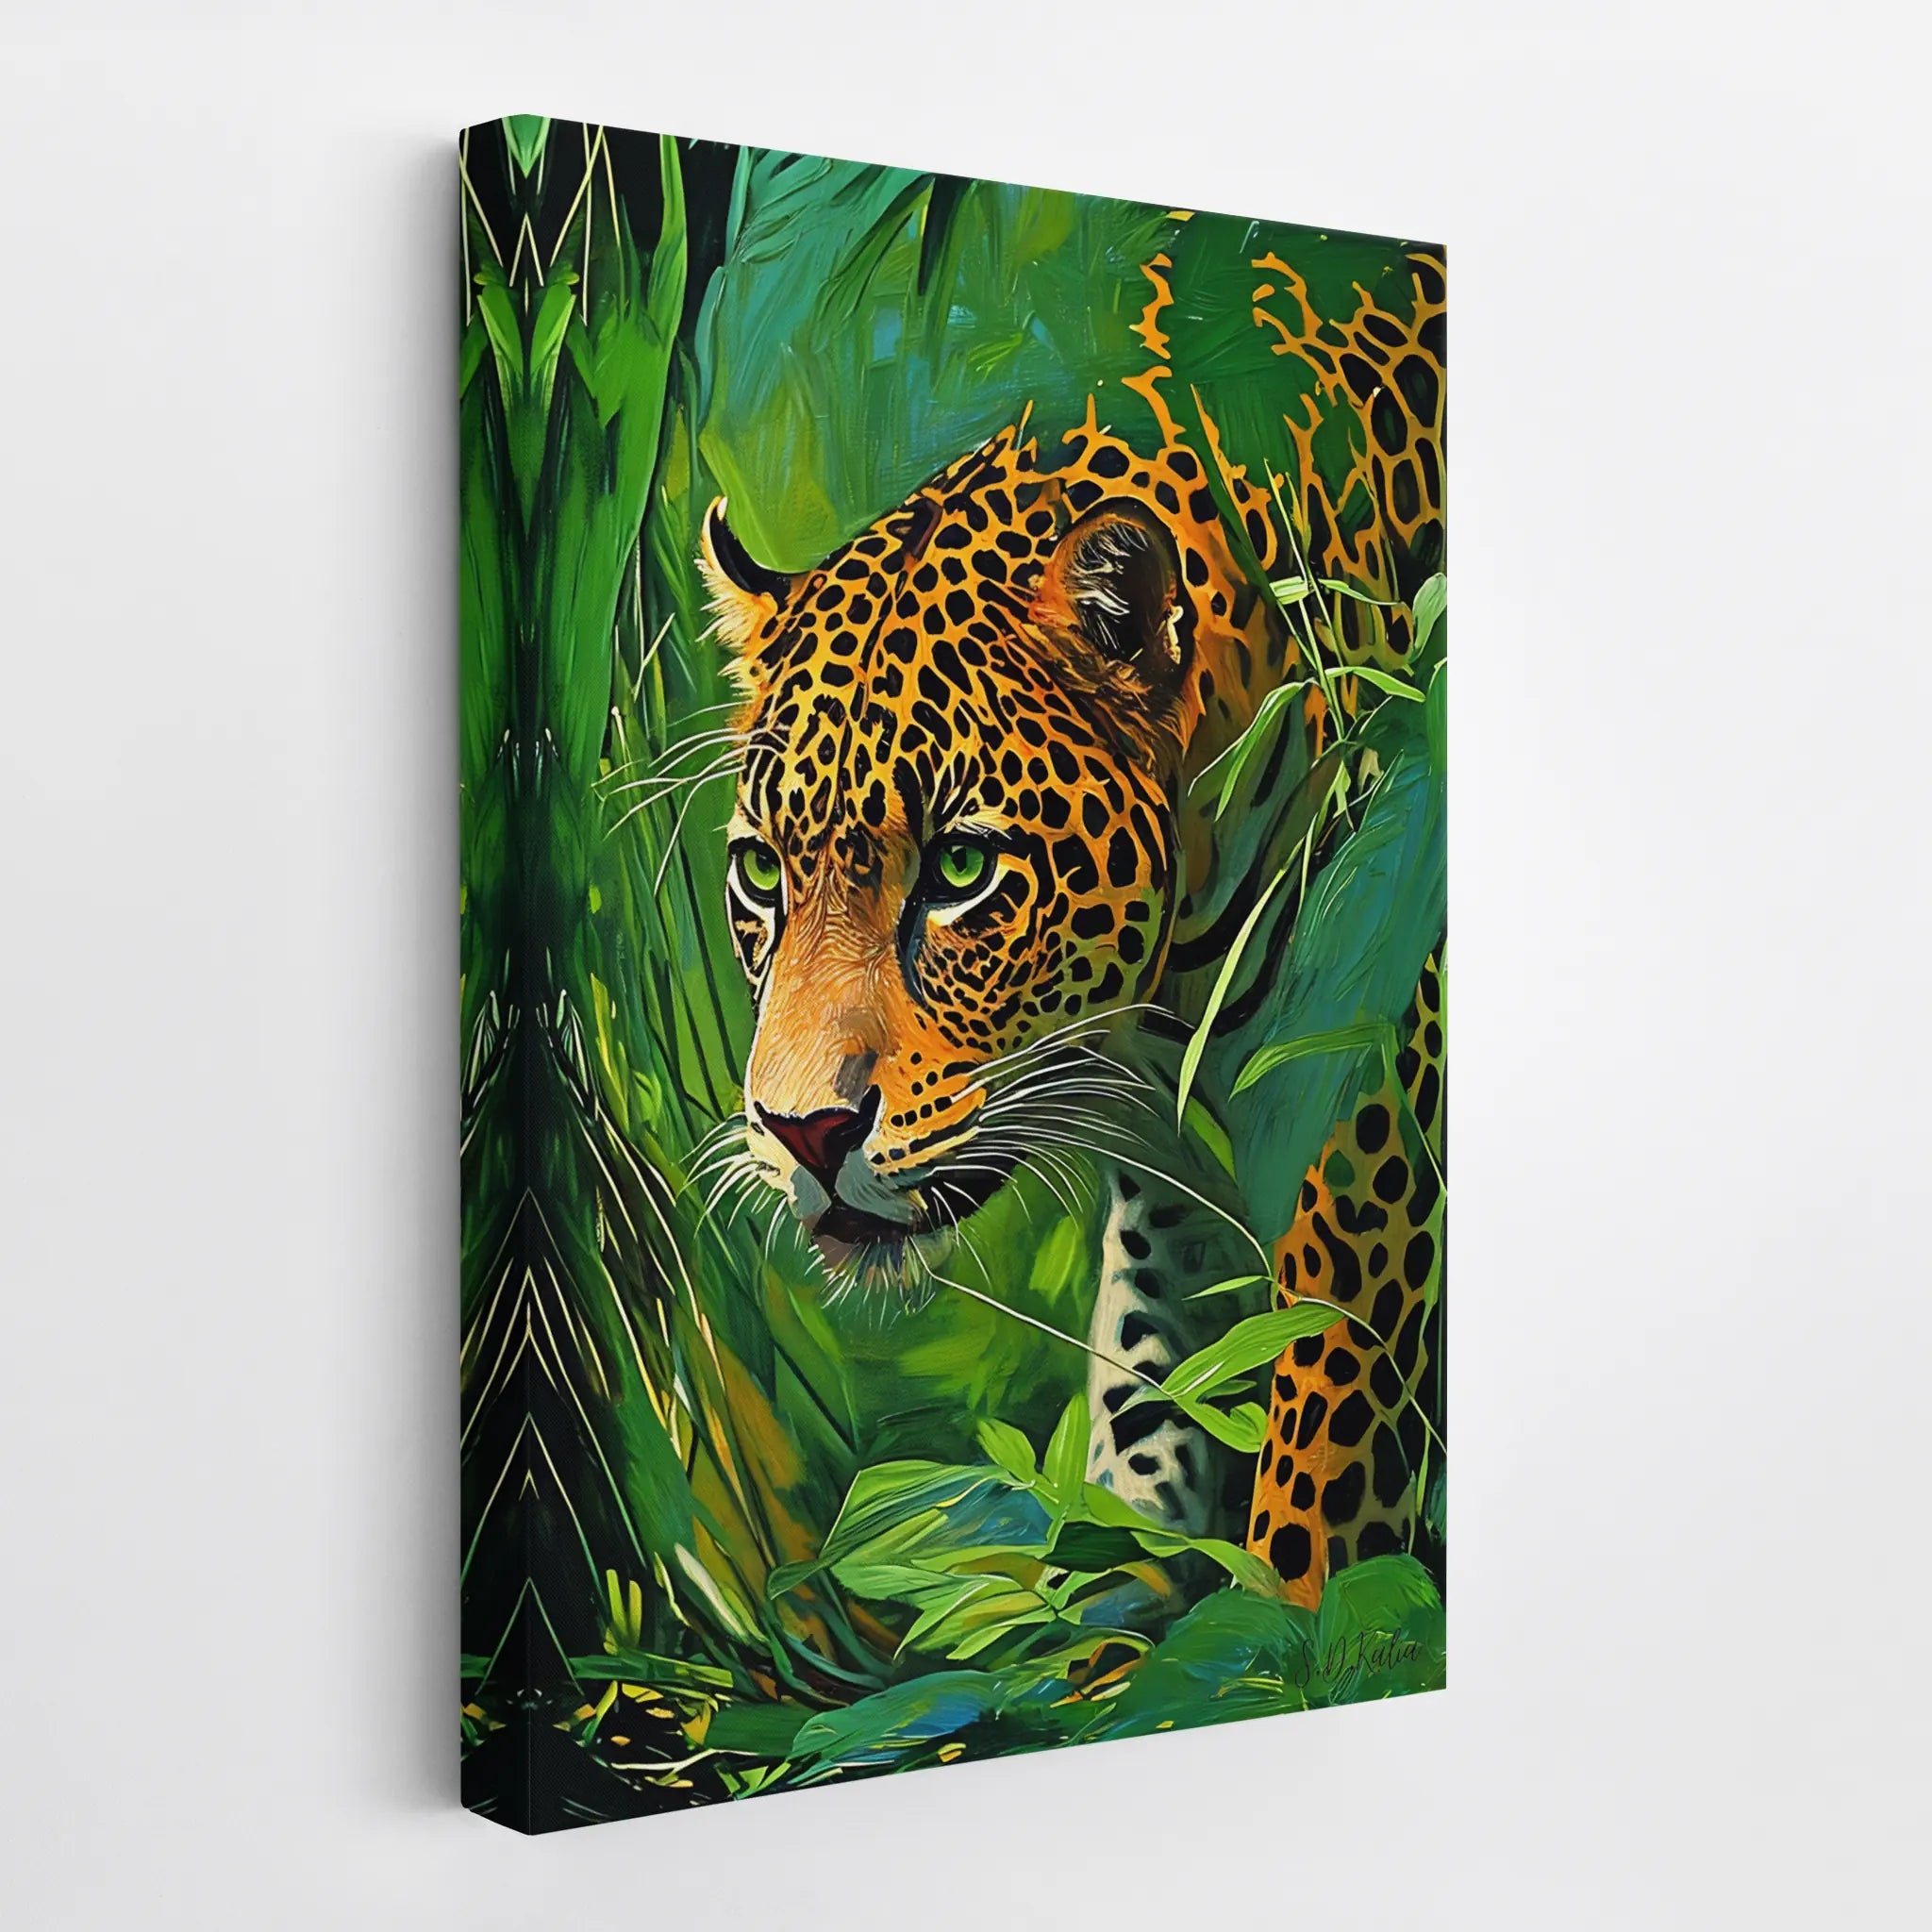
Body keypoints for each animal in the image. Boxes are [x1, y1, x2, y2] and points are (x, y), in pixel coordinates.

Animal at [698, 243, 1446, 1599]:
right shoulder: (1171, 1190)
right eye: (765, 874)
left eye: (958, 866)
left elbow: (1314, 1506)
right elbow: (1151, 1415)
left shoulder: (1370, 1134)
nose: (802, 1132)